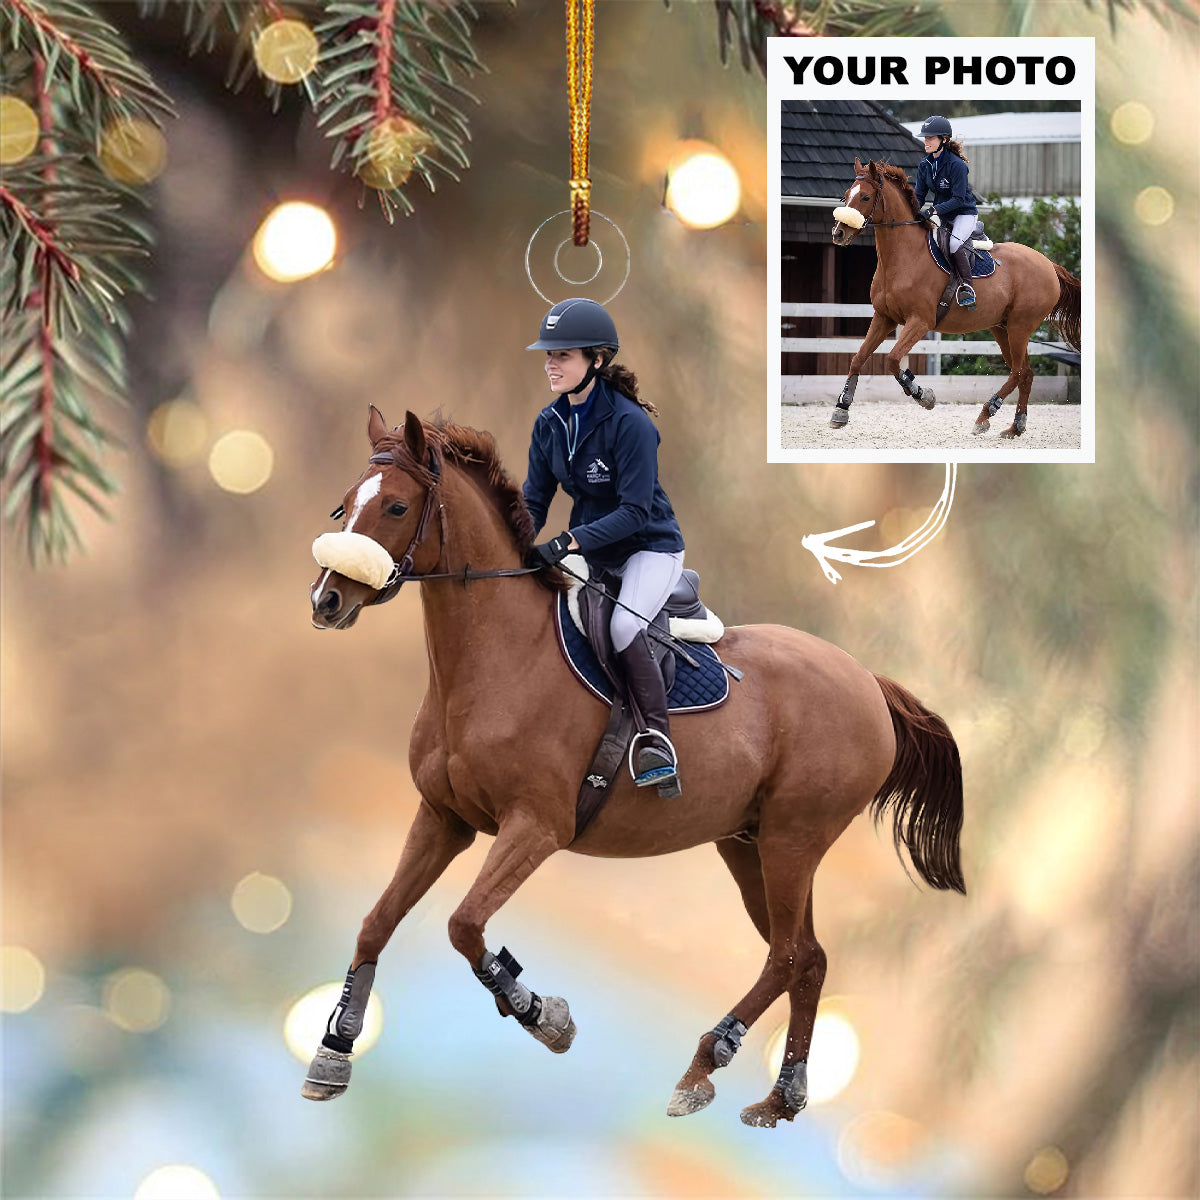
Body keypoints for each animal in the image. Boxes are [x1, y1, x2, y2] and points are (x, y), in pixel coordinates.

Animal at [303, 406, 965, 1128]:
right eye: (343, 504)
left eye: (396, 506)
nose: (326, 601)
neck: (497, 658)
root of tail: (869, 683)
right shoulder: (443, 817)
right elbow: (378, 922)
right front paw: (335, 1050)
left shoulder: (536, 828)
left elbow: (465, 925)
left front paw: (542, 1015)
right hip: (750, 844)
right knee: (807, 958)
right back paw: (781, 1096)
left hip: (793, 841)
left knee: (787, 955)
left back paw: (704, 1064)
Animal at [829, 157, 1081, 438]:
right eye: (845, 195)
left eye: (864, 197)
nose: (838, 234)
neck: (903, 257)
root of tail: (1049, 264)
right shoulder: (884, 318)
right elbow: (858, 359)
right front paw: (841, 410)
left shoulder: (920, 322)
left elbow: (893, 360)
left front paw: (923, 395)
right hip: (1002, 328)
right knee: (1025, 372)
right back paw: (1015, 426)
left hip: (1020, 327)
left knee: (1017, 371)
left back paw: (985, 415)